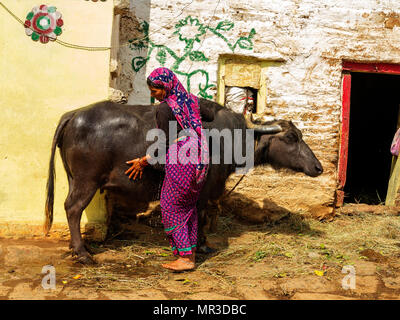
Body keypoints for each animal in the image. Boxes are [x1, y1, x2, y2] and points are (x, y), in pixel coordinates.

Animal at [45, 99, 324, 264]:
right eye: (290, 137)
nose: (318, 167)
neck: (228, 137)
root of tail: (75, 114)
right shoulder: (203, 191)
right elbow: (199, 215)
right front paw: (199, 245)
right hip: (86, 181)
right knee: (73, 208)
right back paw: (83, 253)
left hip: (73, 178)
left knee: (70, 208)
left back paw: (76, 247)